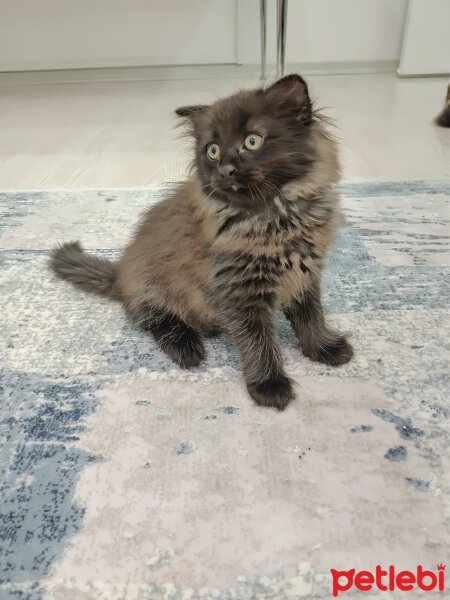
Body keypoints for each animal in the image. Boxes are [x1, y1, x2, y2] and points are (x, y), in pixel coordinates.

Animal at [49, 75, 352, 410]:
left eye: (252, 141)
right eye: (213, 150)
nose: (225, 169)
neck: (276, 217)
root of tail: (120, 271)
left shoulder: (306, 273)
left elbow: (311, 317)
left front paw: (325, 348)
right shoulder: (240, 292)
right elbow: (259, 342)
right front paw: (269, 386)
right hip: (153, 288)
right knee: (155, 320)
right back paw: (188, 347)